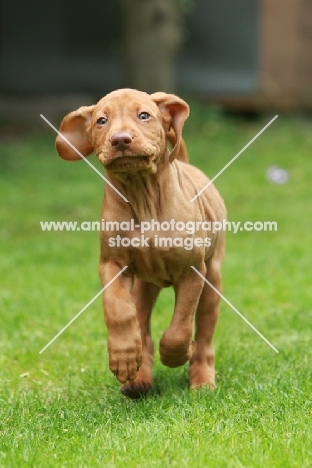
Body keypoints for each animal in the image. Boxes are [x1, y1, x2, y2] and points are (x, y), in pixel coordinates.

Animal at [56, 88, 225, 398]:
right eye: (101, 121)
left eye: (144, 115)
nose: (120, 139)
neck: (143, 195)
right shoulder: (112, 264)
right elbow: (118, 309)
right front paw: (123, 355)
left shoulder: (192, 271)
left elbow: (181, 325)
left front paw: (176, 354)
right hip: (144, 286)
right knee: (141, 325)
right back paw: (138, 378)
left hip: (212, 280)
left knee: (205, 336)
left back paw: (202, 379)